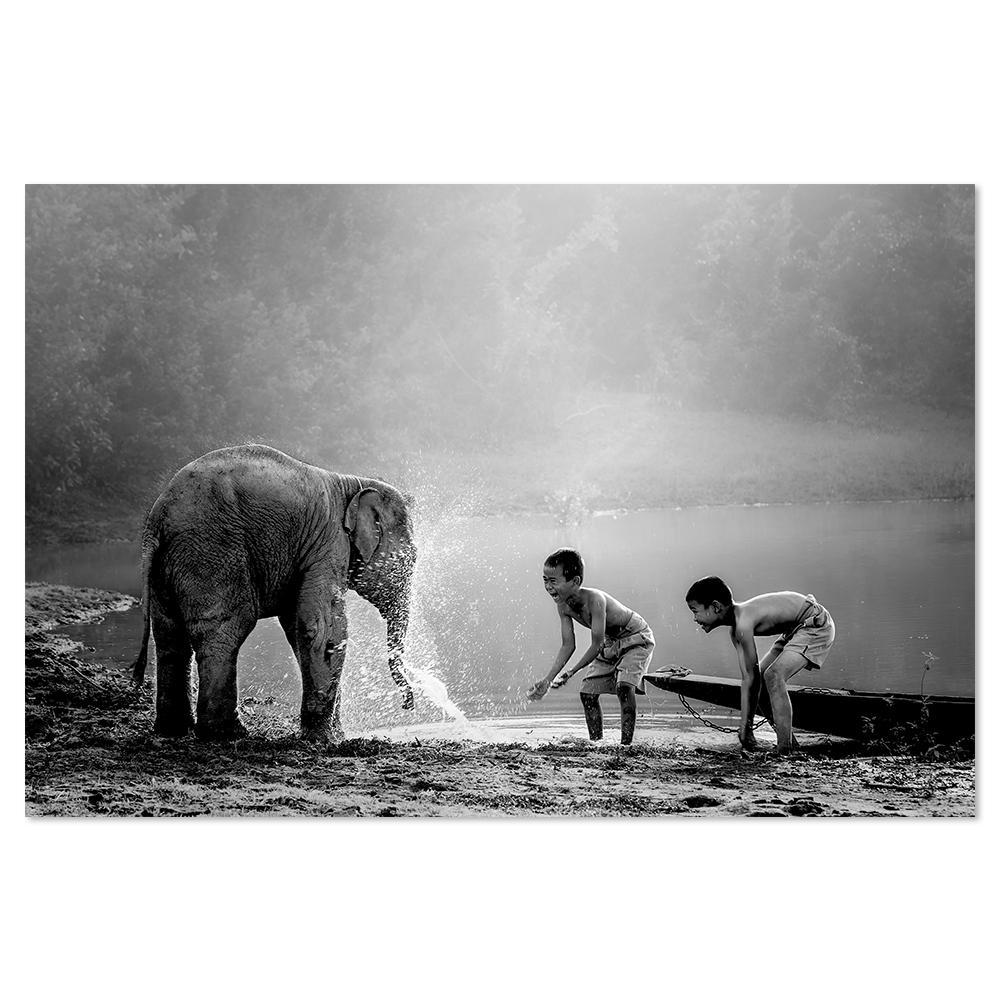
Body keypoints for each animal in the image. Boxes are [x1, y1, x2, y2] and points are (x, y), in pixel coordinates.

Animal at [129, 444, 418, 742]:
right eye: (411, 559)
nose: (409, 704)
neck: (353, 484)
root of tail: (157, 519)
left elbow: (297, 628)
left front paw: (332, 734)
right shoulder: (329, 545)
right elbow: (323, 628)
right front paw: (327, 739)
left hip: (168, 568)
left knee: (170, 638)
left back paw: (173, 732)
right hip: (213, 553)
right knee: (224, 631)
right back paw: (227, 734)